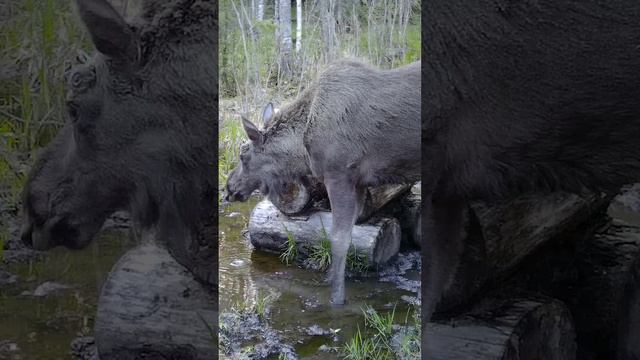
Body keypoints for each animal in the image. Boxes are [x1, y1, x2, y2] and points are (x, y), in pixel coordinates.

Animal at [224, 59, 420, 306]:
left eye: (243, 154)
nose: (228, 188)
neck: (302, 148)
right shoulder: (359, 185)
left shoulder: (339, 176)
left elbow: (338, 240)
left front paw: (336, 299)